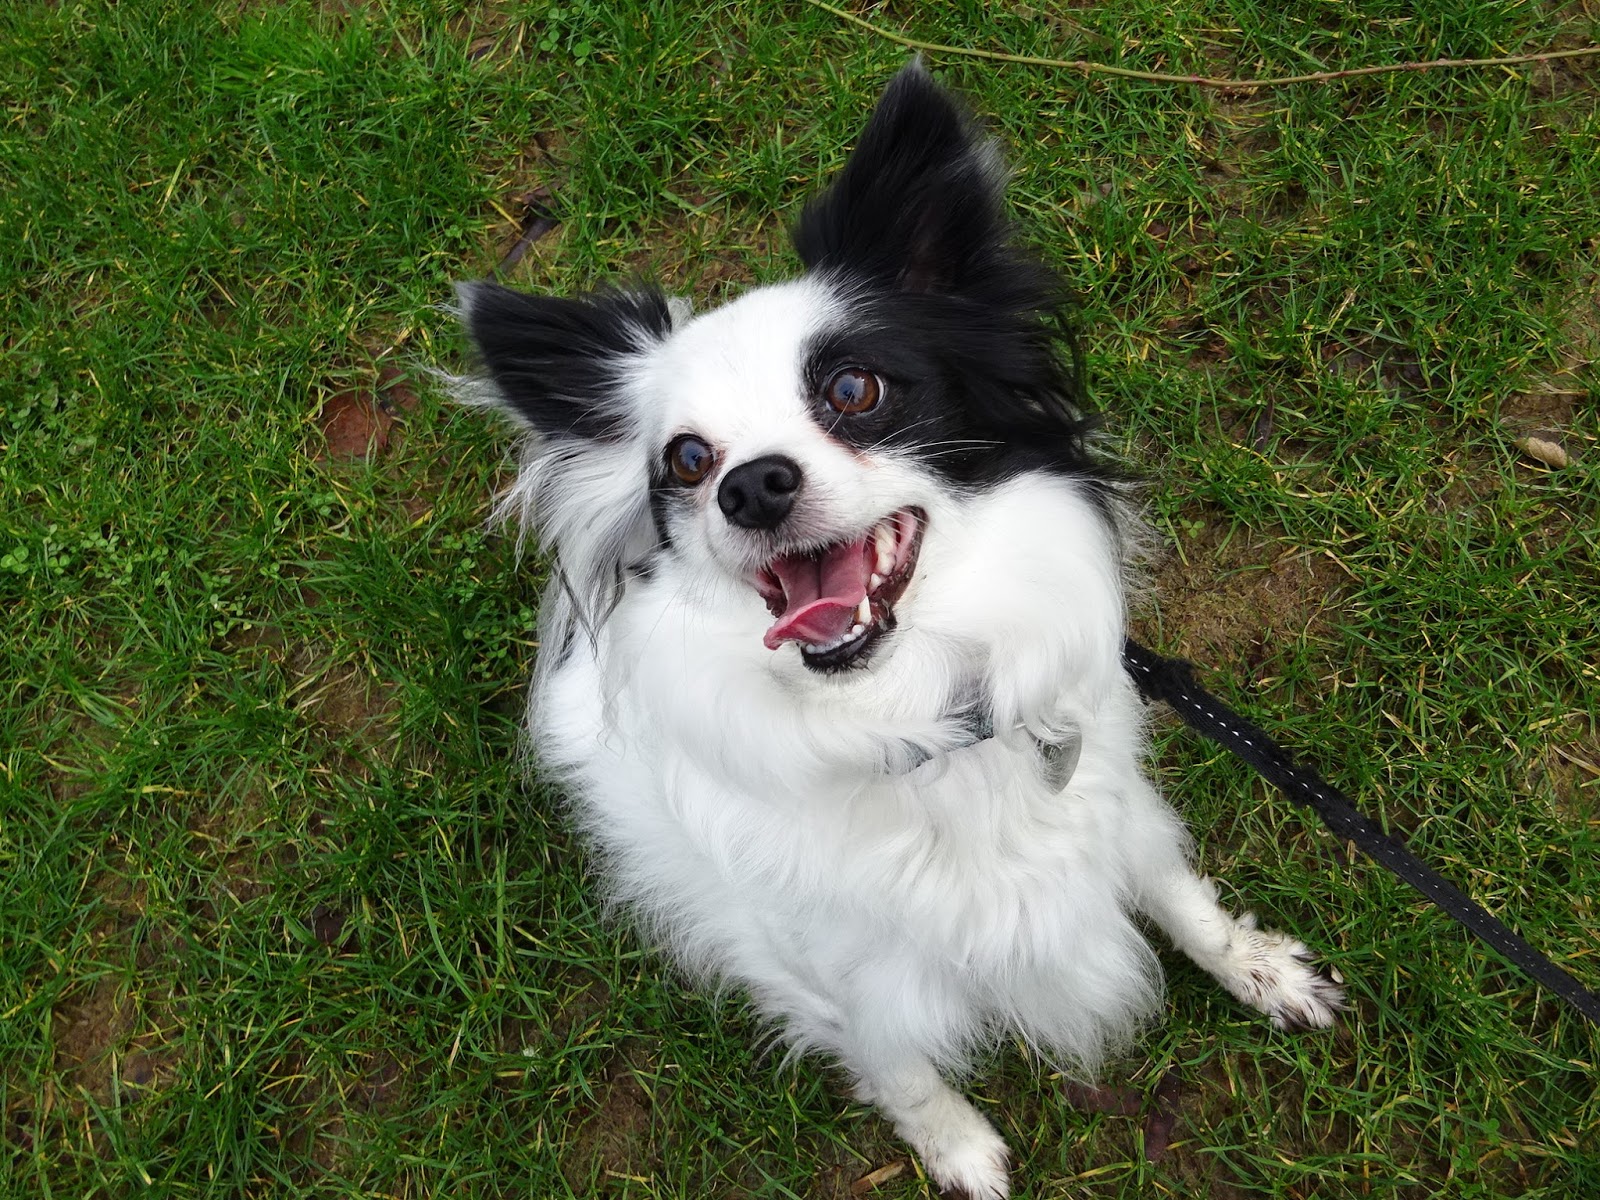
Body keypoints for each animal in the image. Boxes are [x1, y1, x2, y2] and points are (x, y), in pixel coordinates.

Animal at [452, 63, 1343, 1199]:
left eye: (852, 389)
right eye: (688, 460)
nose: (752, 486)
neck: (917, 715)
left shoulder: (1108, 802)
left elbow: (1174, 888)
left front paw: (1255, 966)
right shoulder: (835, 969)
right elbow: (898, 1064)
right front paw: (956, 1148)